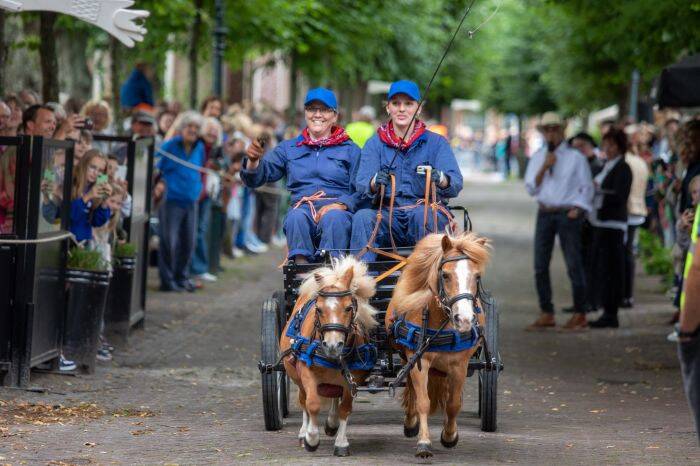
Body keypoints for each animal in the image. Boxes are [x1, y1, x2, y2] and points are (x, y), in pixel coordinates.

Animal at [280, 255, 380, 456]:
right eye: (318, 309)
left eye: (349, 307)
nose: (333, 346)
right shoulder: (307, 374)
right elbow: (312, 404)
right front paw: (311, 438)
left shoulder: (352, 379)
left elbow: (345, 408)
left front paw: (341, 443)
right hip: (296, 375)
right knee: (303, 400)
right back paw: (303, 433)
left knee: (335, 396)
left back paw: (331, 423)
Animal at [386, 231, 490, 456]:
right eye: (445, 275)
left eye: (477, 276)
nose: (464, 320)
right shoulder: (419, 361)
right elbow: (423, 401)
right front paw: (424, 442)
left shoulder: (459, 365)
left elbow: (453, 404)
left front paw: (449, 436)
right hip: (408, 358)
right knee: (413, 390)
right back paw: (410, 423)